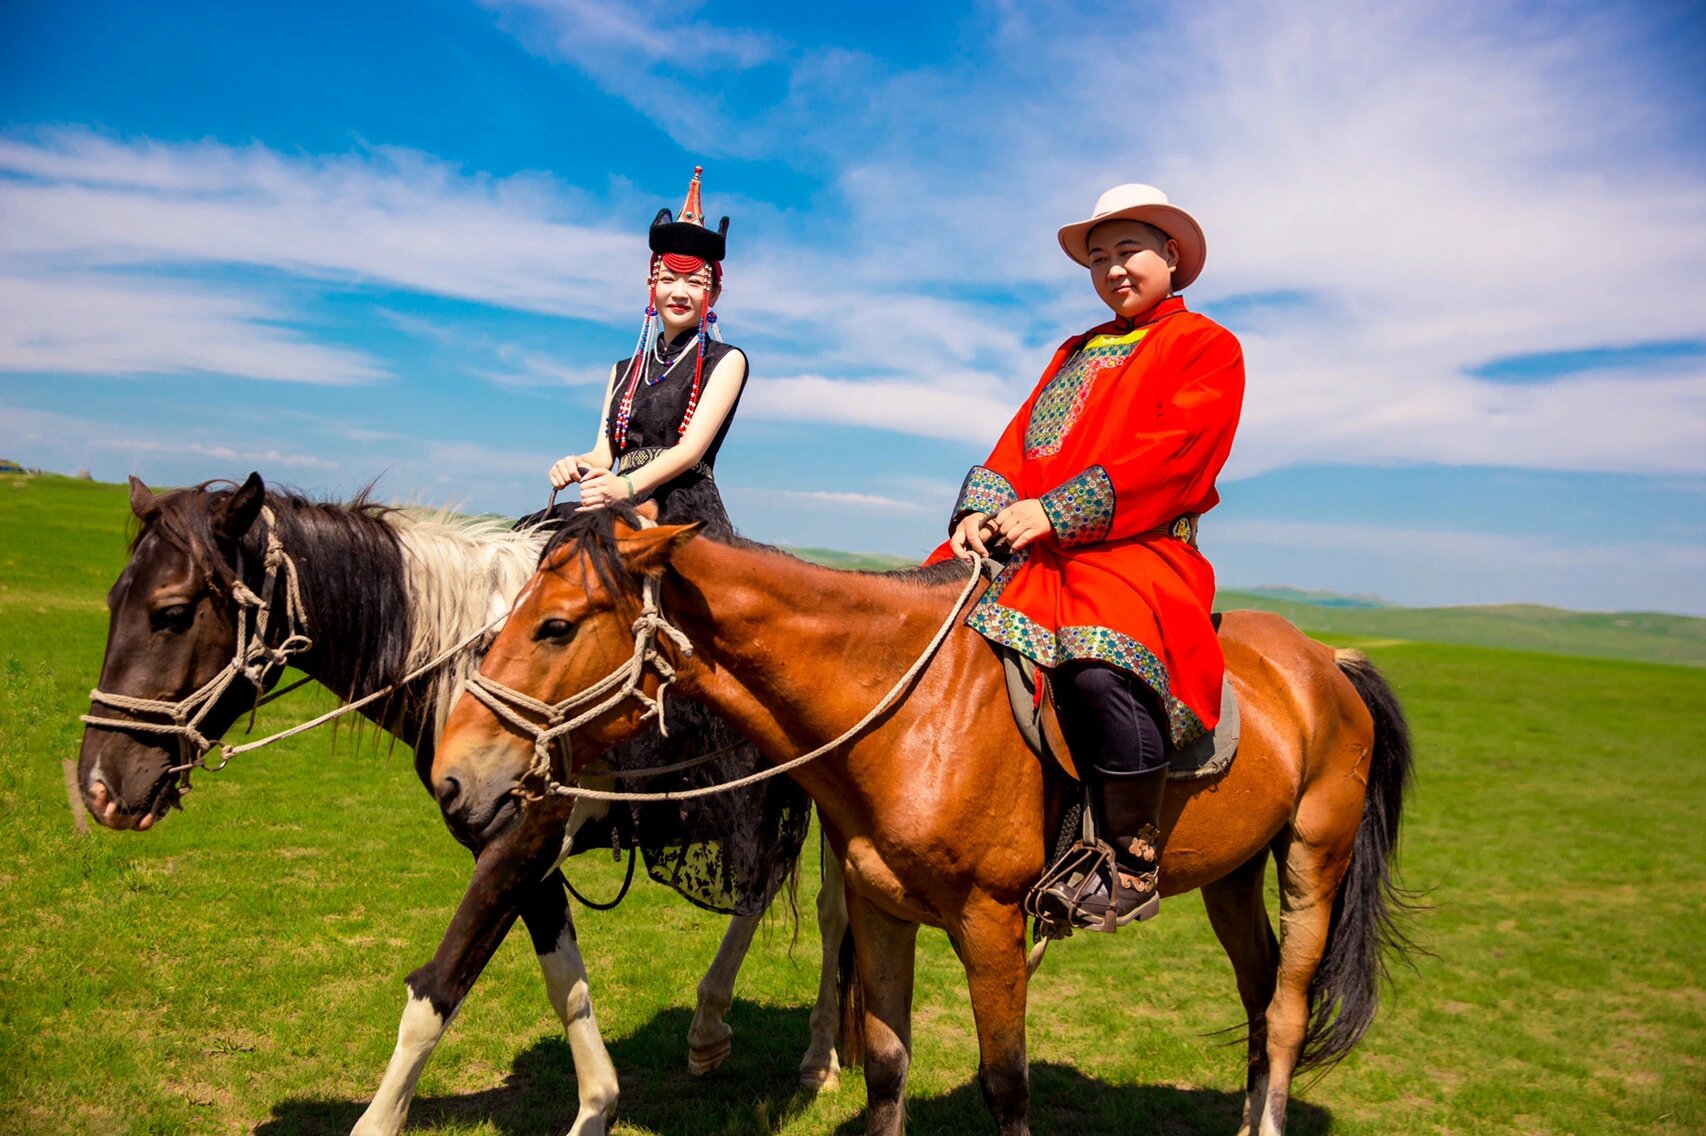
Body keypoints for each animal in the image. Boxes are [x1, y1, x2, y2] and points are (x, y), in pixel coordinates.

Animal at [433, 508, 1419, 1132]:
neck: (912, 714)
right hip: (1231, 878)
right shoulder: (880, 910)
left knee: (1286, 1012)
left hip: (1314, 861)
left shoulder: (991, 926)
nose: (452, 779)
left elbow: (1006, 1086)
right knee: (1257, 998)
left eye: (557, 626)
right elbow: (885, 1067)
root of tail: (1324, 659)